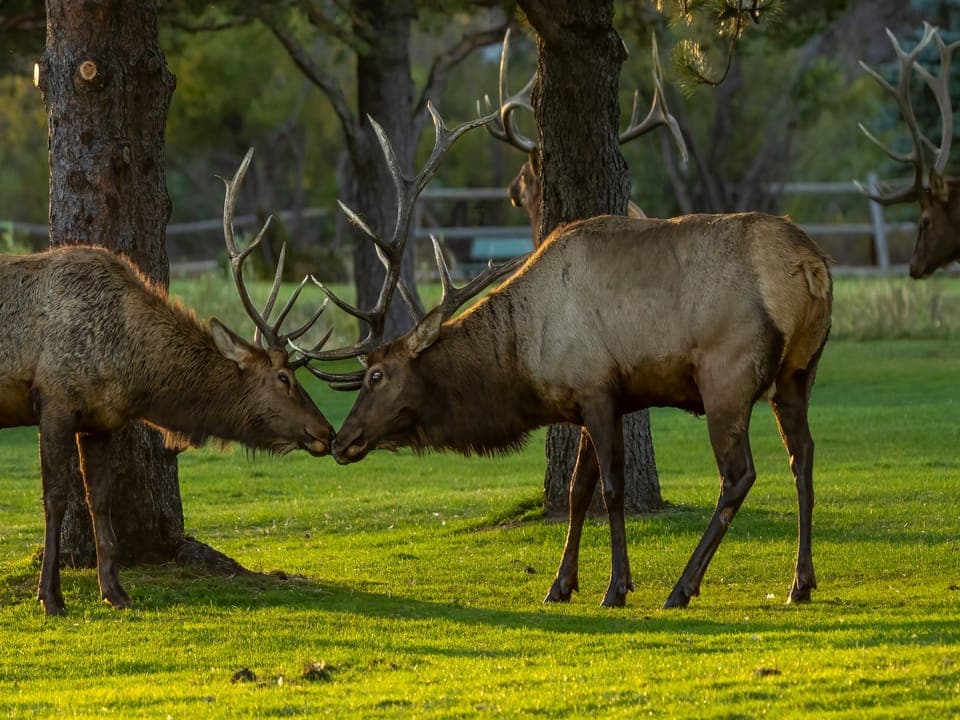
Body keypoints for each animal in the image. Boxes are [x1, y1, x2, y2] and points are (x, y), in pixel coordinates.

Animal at [2, 149, 334, 615]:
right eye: (284, 377)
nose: (328, 431)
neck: (131, 368)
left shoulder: (100, 420)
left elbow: (100, 500)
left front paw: (116, 592)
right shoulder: (54, 400)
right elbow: (56, 499)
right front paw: (50, 596)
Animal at [307, 102, 833, 610]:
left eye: (375, 376)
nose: (340, 441)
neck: (525, 356)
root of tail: (812, 267)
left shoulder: (597, 390)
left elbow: (611, 489)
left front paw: (616, 587)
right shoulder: (596, 398)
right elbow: (578, 491)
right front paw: (560, 583)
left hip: (727, 376)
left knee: (739, 475)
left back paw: (682, 587)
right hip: (798, 372)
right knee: (803, 456)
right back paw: (800, 582)